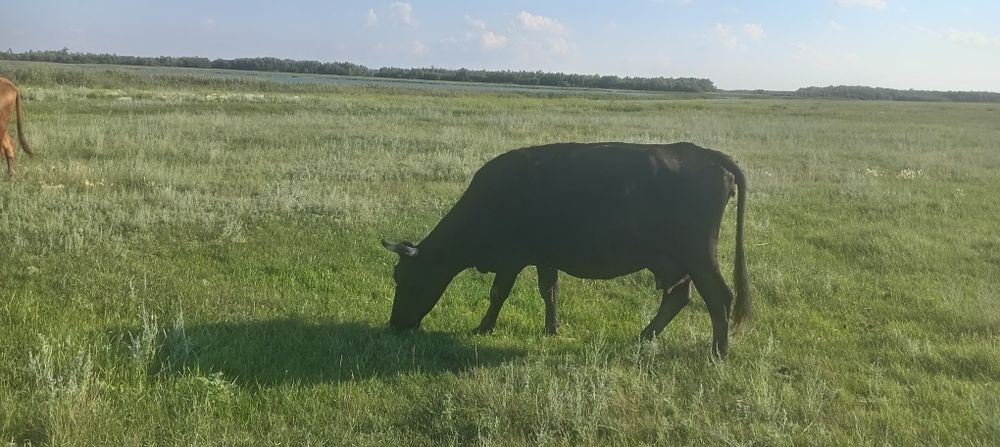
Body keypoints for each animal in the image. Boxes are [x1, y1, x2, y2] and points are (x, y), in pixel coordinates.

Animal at [382, 142, 750, 358]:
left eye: (405, 278)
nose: (395, 325)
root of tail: (703, 152)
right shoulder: (546, 256)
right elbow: (550, 291)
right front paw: (552, 328)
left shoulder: (512, 256)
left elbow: (498, 293)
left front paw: (483, 328)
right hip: (674, 260)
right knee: (678, 297)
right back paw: (644, 336)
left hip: (699, 254)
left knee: (719, 296)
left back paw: (719, 353)